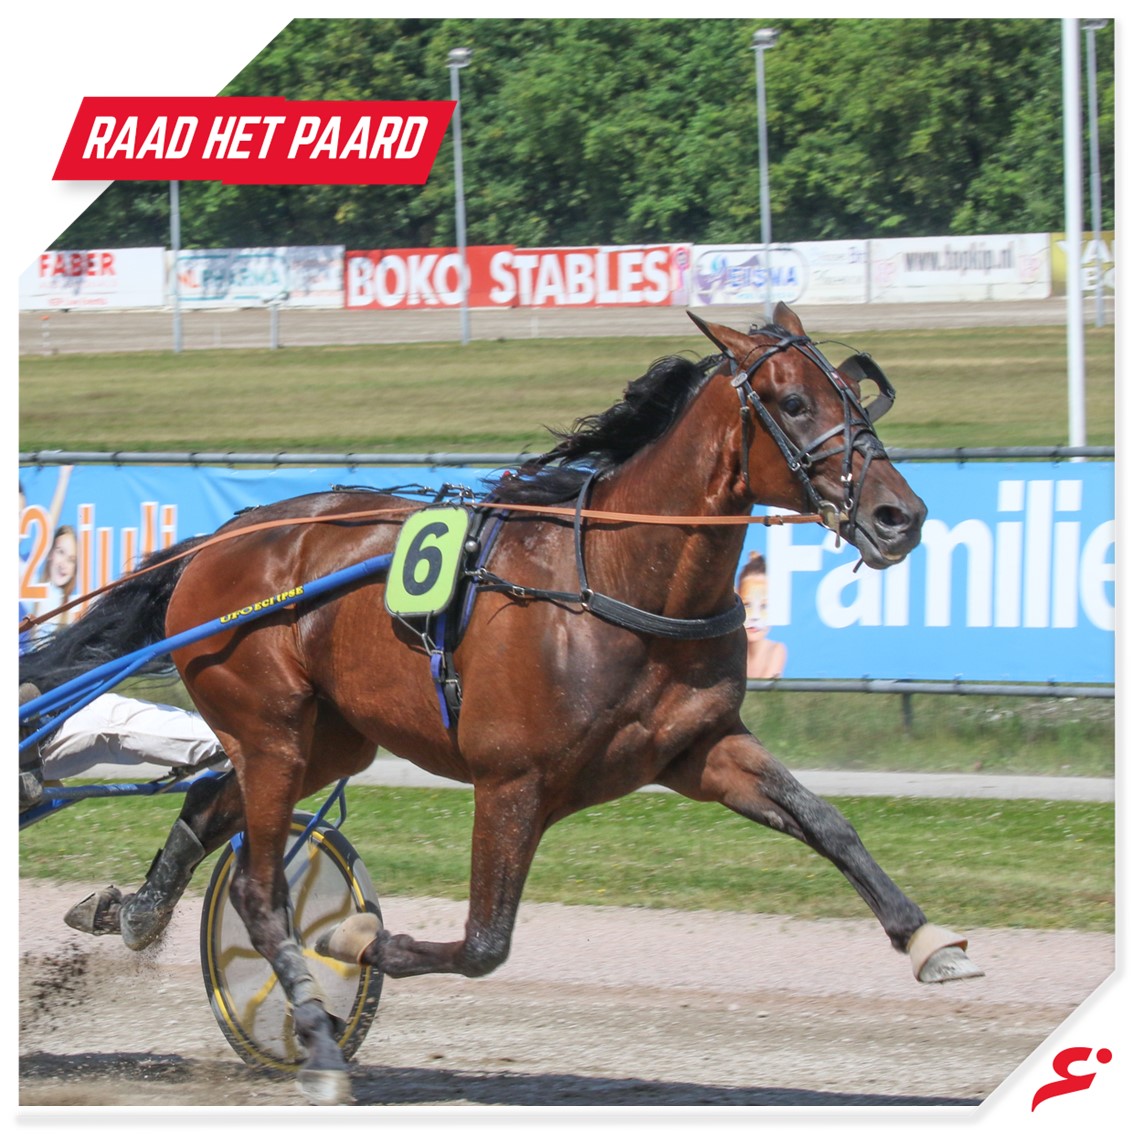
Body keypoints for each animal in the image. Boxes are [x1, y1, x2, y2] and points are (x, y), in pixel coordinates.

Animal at [20, 305, 981, 1104]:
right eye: (791, 401)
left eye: (856, 395)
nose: (899, 516)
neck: (615, 581)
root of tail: (219, 541)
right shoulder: (512, 780)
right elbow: (485, 943)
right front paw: (358, 941)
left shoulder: (697, 748)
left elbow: (827, 822)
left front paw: (928, 942)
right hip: (272, 729)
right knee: (260, 893)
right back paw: (320, 1043)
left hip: (323, 740)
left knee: (206, 808)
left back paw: (136, 915)